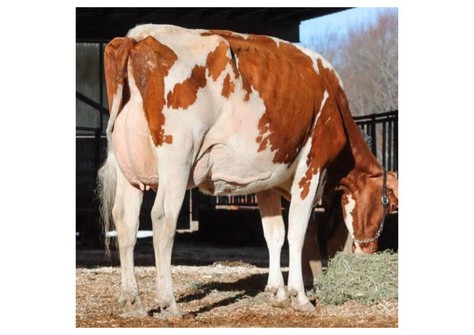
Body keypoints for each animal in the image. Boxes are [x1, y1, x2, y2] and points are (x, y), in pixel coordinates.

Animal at [98, 24, 398, 318]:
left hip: (128, 170)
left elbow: (274, 234)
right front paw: (299, 297)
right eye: (388, 206)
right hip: (178, 158)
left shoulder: (266, 181)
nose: (371, 251)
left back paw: (132, 302)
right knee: (162, 218)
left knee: (125, 219)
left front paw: (277, 294)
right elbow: (297, 232)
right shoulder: (311, 167)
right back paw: (168, 303)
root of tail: (137, 36)